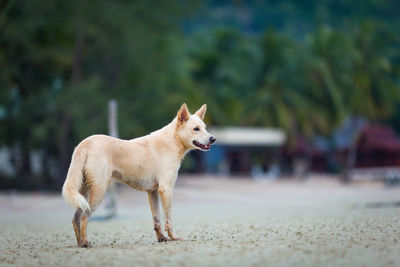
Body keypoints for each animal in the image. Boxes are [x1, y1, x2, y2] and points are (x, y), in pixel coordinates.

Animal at [61, 103, 216, 248]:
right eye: (196, 129)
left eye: (204, 127)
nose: (213, 138)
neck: (172, 140)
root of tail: (85, 144)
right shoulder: (166, 189)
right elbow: (168, 220)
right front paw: (173, 237)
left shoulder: (152, 192)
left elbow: (157, 220)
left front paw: (162, 238)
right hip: (98, 190)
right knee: (84, 217)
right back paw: (86, 243)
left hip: (84, 193)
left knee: (75, 219)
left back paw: (80, 243)